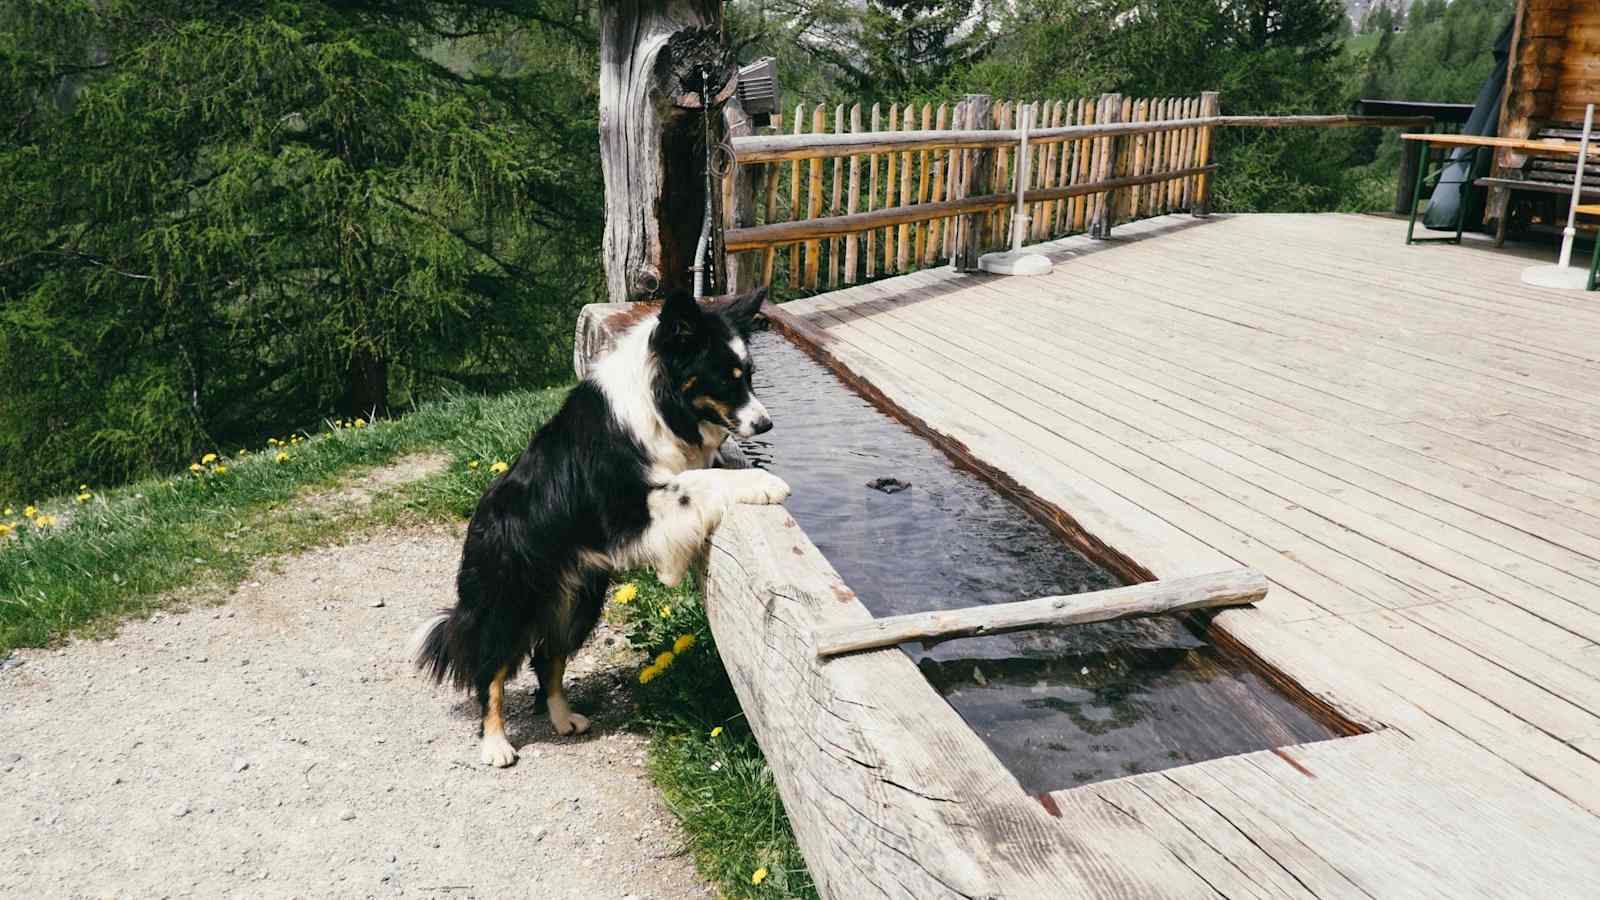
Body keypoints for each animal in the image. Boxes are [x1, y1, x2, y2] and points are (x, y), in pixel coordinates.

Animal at [409, 286, 790, 762]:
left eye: (749, 376)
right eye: (725, 378)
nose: (766, 423)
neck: (659, 401)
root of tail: (478, 528)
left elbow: (705, 470)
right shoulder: (629, 508)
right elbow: (698, 480)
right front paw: (765, 483)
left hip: (578, 603)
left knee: (547, 658)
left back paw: (563, 719)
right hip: (507, 603)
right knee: (490, 671)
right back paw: (495, 743)